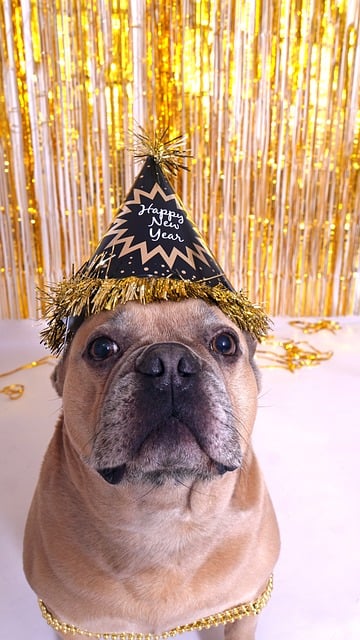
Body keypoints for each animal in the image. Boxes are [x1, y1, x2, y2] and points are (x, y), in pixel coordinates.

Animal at [23, 298, 280, 636]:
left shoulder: (246, 606)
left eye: (225, 344)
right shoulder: (69, 624)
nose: (169, 361)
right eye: (101, 348)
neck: (164, 509)